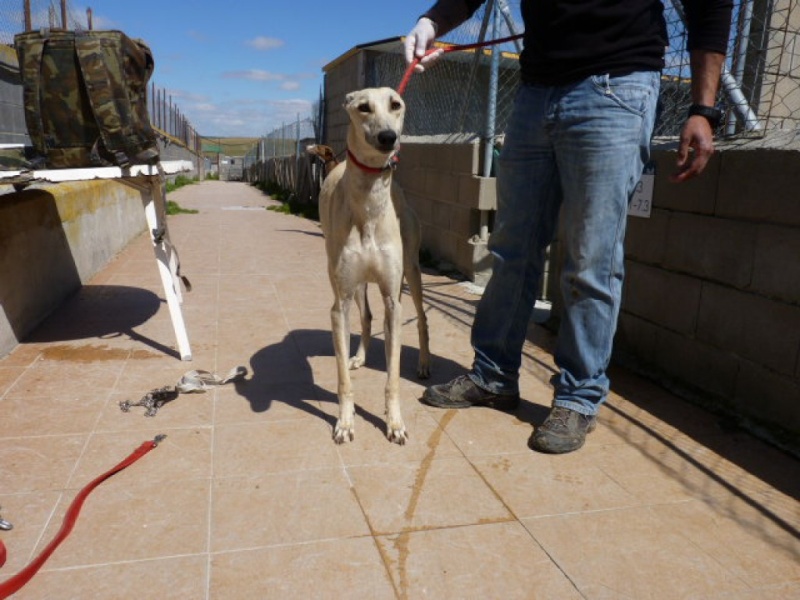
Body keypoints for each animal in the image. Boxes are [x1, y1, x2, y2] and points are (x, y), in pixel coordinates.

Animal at [318, 88, 432, 446]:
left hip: (411, 271)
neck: (368, 203)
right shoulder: (339, 305)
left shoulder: (393, 302)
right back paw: (360, 356)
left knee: (421, 318)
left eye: (396, 104)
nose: (388, 137)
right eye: (363, 107)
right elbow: (342, 377)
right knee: (366, 317)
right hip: (354, 284)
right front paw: (344, 422)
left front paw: (394, 423)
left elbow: (392, 375)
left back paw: (424, 364)